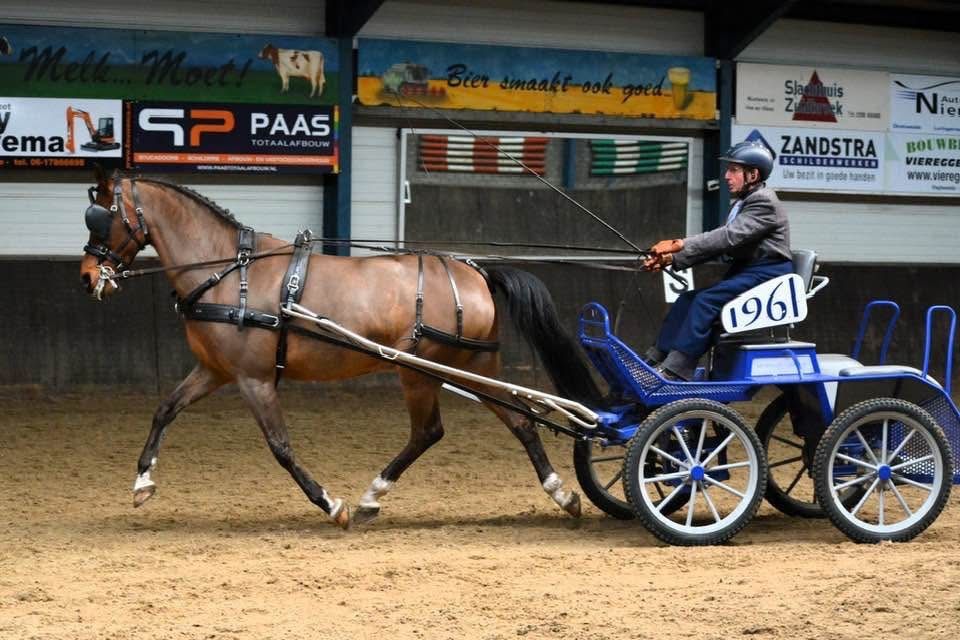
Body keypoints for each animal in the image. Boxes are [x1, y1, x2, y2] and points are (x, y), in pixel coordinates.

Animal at [78, 167, 603, 528]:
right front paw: (143, 482)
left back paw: (372, 496)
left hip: (421, 371)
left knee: (432, 431)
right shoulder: (216, 370)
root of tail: (474, 272)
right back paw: (561, 494)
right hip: (470, 365)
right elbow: (165, 409)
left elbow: (281, 446)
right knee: (518, 421)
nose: (86, 277)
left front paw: (331, 505)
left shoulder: (254, 379)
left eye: (102, 218)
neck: (229, 271)